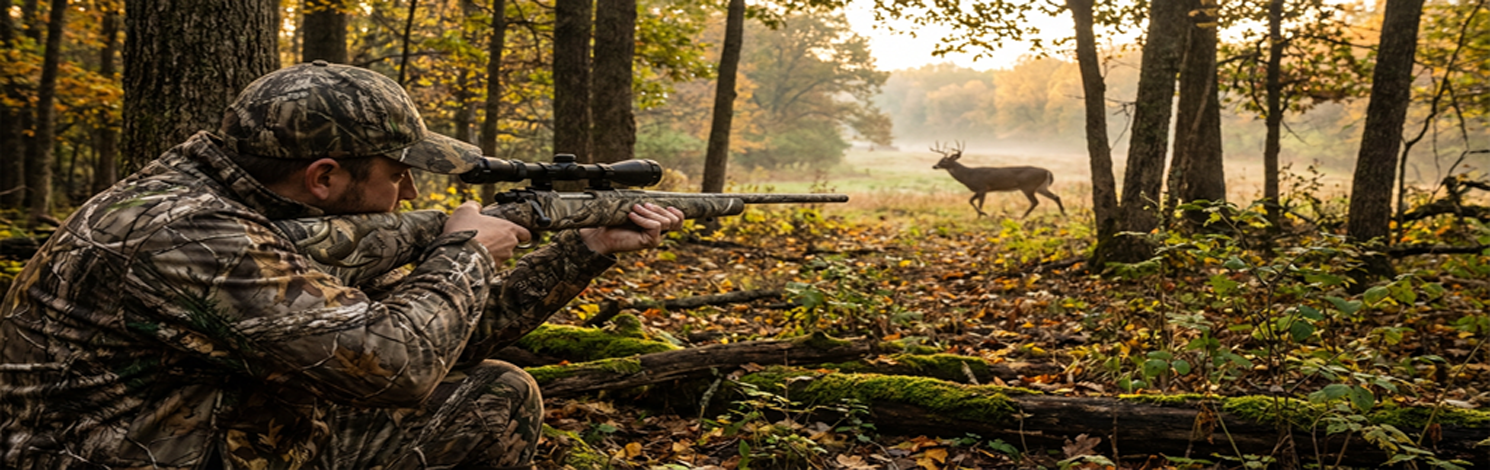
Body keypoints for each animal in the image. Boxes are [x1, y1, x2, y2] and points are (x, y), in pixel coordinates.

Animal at [930, 141, 1065, 219]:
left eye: (944, 161)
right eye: (940, 160)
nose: (934, 166)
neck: (968, 175)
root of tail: (1048, 172)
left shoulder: (982, 187)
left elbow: (978, 203)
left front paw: (981, 215)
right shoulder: (979, 190)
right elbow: (971, 201)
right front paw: (981, 215)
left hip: (1028, 186)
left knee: (1035, 202)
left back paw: (1022, 217)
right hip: (1041, 187)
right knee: (1056, 197)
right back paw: (1064, 214)